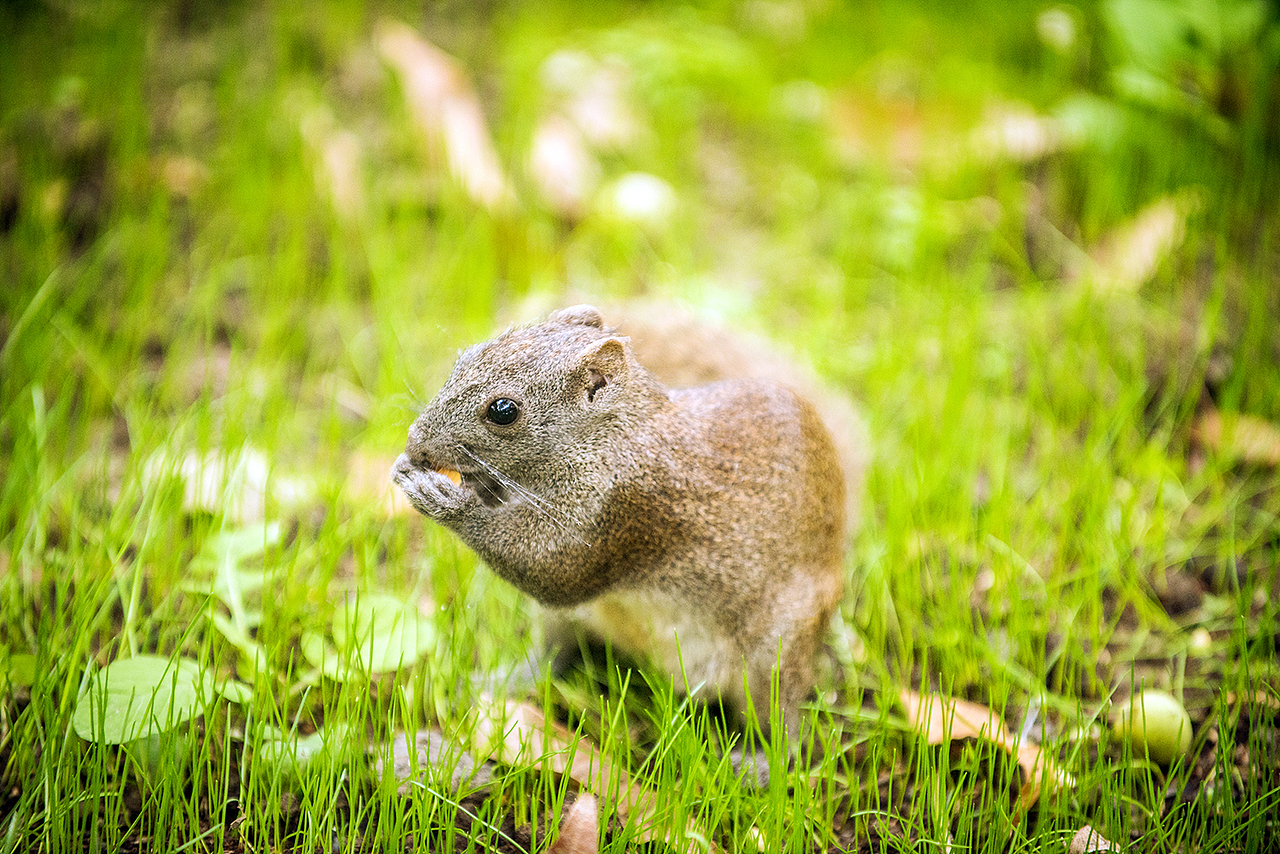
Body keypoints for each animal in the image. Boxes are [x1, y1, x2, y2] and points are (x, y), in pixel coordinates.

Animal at [393, 304, 863, 736]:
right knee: (555, 657)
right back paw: (506, 678)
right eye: (464, 358)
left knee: (781, 715)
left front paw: (445, 499)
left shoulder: (624, 510)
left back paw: (765, 761)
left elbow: (551, 569)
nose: (415, 442)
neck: (612, 437)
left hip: (777, 650)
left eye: (503, 410)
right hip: (569, 621)